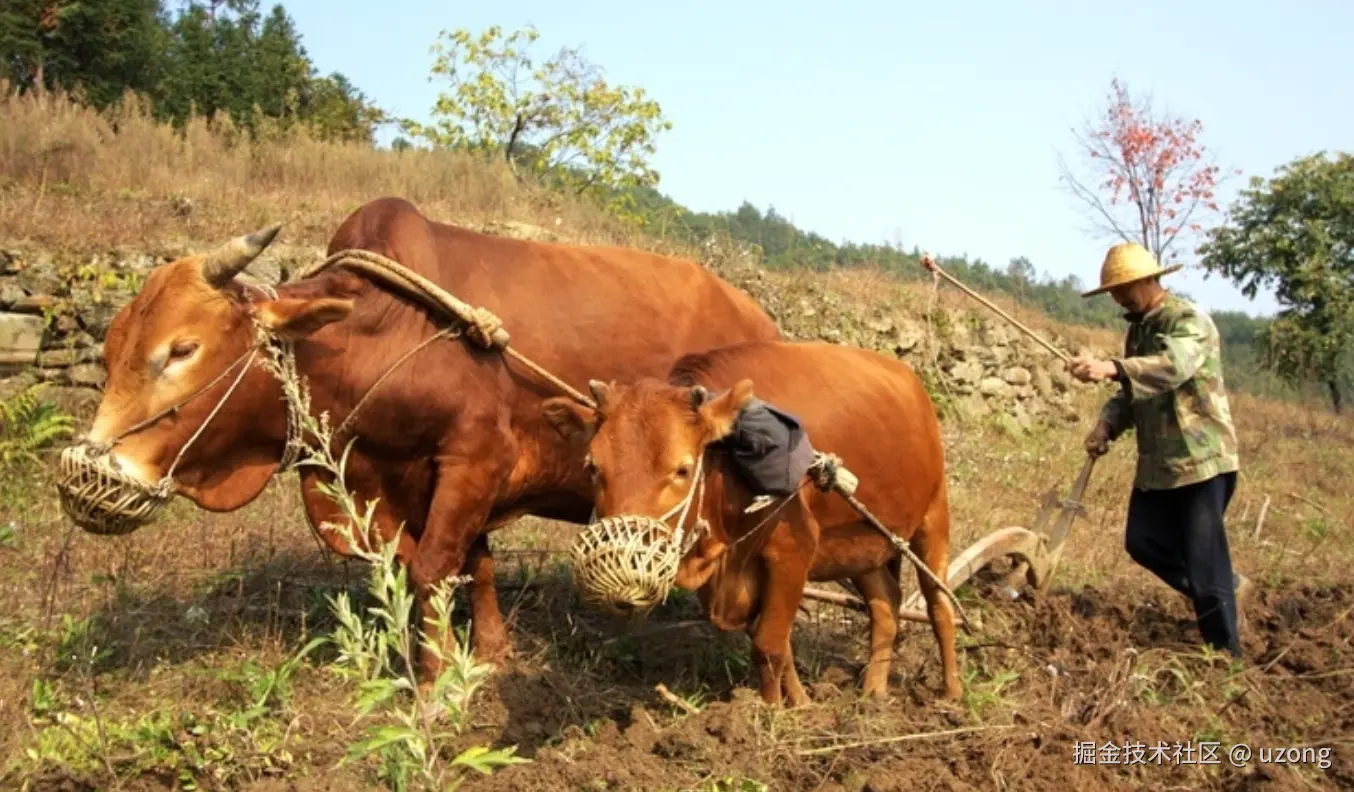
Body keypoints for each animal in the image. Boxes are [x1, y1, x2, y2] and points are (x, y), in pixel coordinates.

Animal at [55, 196, 782, 684]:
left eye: (182, 349)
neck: (384, 332)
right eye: (111, 348)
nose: (85, 472)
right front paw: (485, 654)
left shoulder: (474, 459)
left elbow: (435, 566)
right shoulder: (404, 481)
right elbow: (464, 564)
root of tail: (759, 316)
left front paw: (435, 680)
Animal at [540, 340, 961, 706]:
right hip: (863, 546)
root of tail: (910, 380)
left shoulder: (793, 550)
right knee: (886, 606)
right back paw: (873, 691)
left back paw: (950, 694)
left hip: (933, 521)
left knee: (939, 606)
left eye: (682, 469)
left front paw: (771, 712)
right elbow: (778, 643)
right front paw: (802, 704)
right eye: (593, 467)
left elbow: (769, 645)